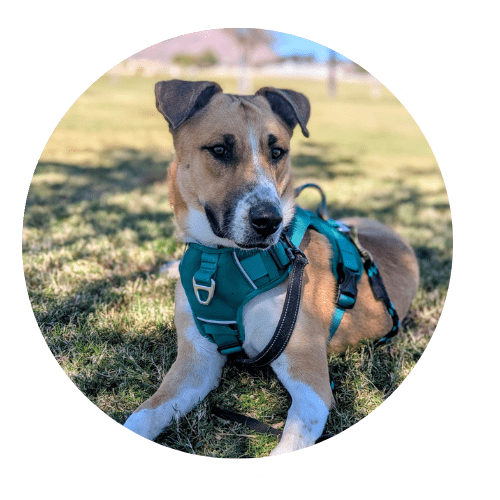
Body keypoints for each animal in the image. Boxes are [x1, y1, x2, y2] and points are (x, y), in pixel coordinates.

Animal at [123, 80, 419, 455]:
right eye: (219, 149)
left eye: (277, 151)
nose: (269, 221)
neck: (225, 258)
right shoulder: (196, 361)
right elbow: (143, 416)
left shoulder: (311, 381)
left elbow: (288, 446)